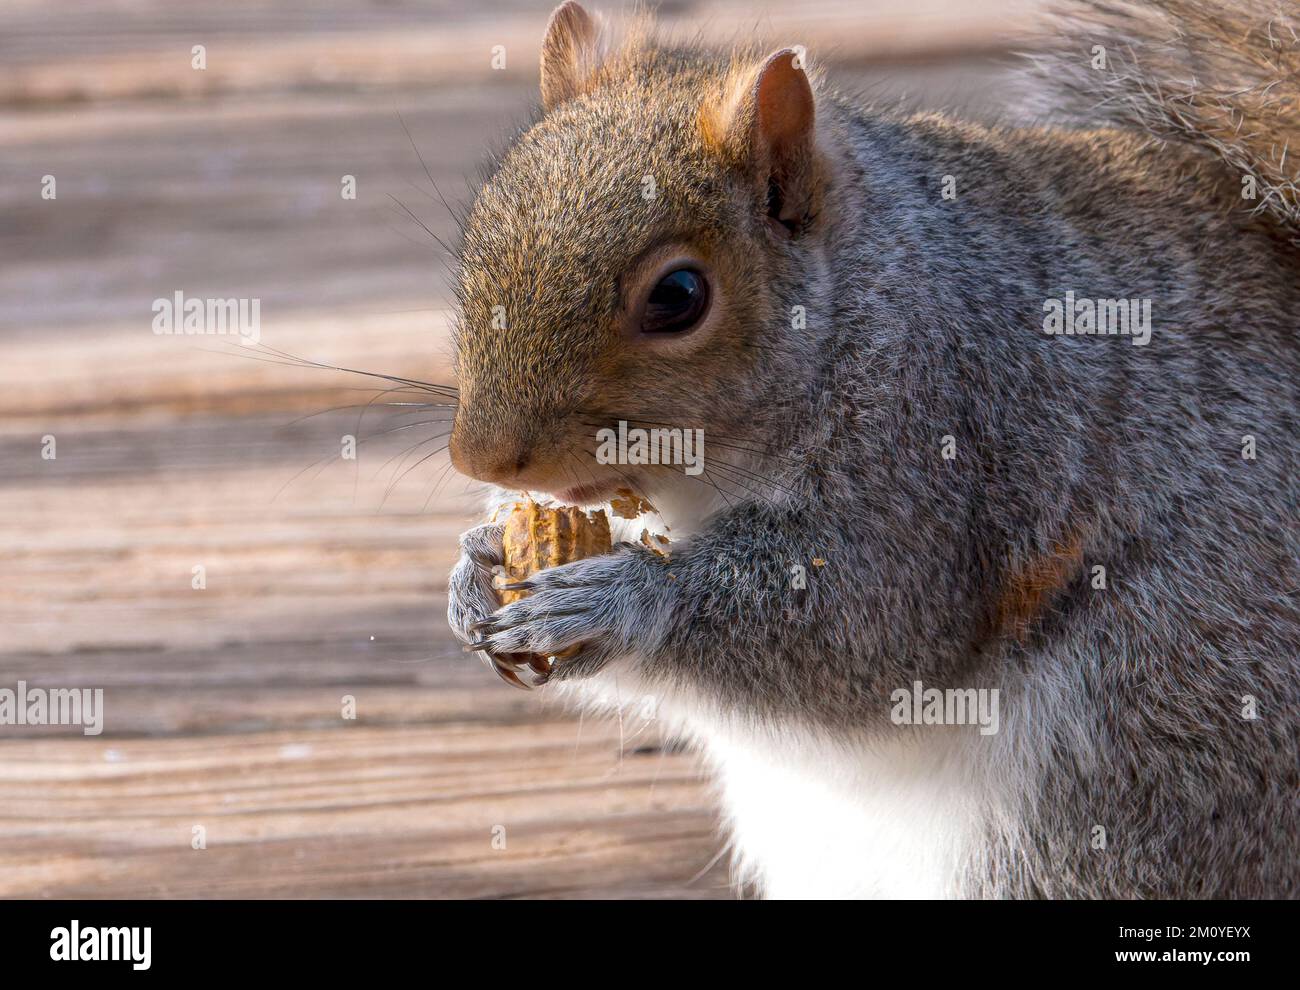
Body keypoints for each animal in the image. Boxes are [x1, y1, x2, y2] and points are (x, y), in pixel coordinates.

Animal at [444, 0, 1300, 898]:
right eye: (483, 225)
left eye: (678, 296)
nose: (481, 459)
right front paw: (476, 562)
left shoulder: (931, 442)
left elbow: (864, 627)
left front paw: (615, 601)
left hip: (1143, 732)